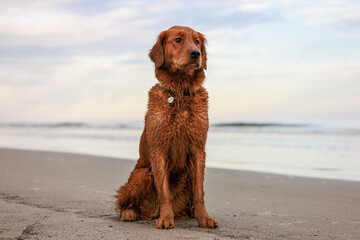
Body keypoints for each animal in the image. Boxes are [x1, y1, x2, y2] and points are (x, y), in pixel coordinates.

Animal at [115, 25, 218, 229]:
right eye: (178, 39)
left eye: (197, 42)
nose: (196, 54)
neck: (180, 93)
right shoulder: (158, 149)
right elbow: (164, 190)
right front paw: (166, 217)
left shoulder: (198, 148)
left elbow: (199, 192)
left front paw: (204, 218)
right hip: (143, 174)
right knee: (121, 202)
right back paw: (130, 213)